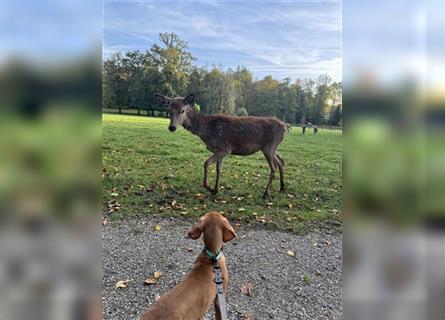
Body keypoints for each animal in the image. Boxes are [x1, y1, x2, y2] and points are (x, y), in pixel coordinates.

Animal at [154, 92, 288, 198]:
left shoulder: (224, 148)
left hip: (269, 147)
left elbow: (206, 163)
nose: (172, 127)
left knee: (273, 167)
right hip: (272, 148)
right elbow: (219, 169)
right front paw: (216, 190)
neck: (206, 131)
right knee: (281, 162)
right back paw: (282, 188)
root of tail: (285, 127)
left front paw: (209, 187)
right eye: (168, 110)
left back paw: (266, 193)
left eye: (182, 110)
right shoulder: (219, 151)